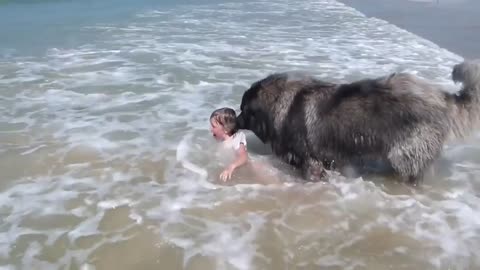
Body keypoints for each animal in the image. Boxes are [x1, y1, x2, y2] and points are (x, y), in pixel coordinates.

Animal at [236, 59, 480, 185]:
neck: (281, 103)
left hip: (404, 152)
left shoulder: (310, 160)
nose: (233, 119)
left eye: (243, 110)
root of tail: (441, 97)